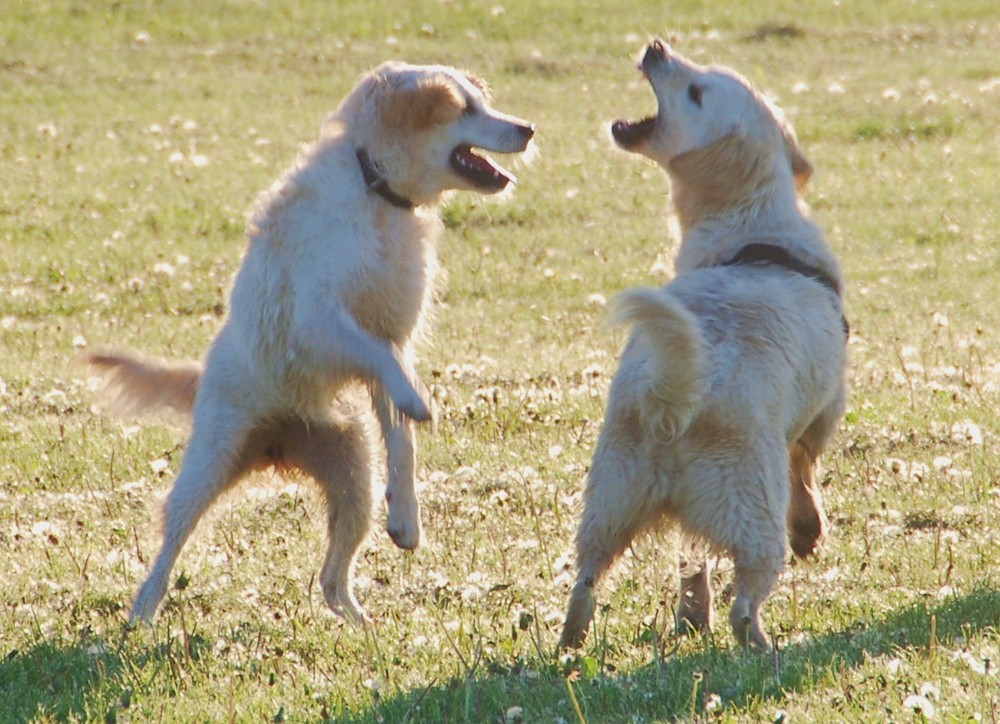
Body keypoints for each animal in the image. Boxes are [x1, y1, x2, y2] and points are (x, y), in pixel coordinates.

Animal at [88, 62, 540, 624]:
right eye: (464, 109)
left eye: (483, 103)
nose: (528, 129)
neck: (375, 188)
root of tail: (276, 442)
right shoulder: (319, 324)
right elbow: (383, 365)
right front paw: (418, 400)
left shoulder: (392, 337)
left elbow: (402, 439)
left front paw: (407, 515)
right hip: (210, 462)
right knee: (171, 540)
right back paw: (143, 611)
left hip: (354, 481)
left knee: (329, 579)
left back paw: (362, 624)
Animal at [560, 38, 848, 652]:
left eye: (696, 91)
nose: (655, 45)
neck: (751, 228)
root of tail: (674, 399)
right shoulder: (826, 408)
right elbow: (804, 465)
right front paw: (810, 527)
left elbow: (691, 560)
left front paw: (692, 613)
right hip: (753, 517)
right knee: (746, 599)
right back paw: (763, 647)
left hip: (609, 504)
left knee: (586, 580)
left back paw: (572, 641)